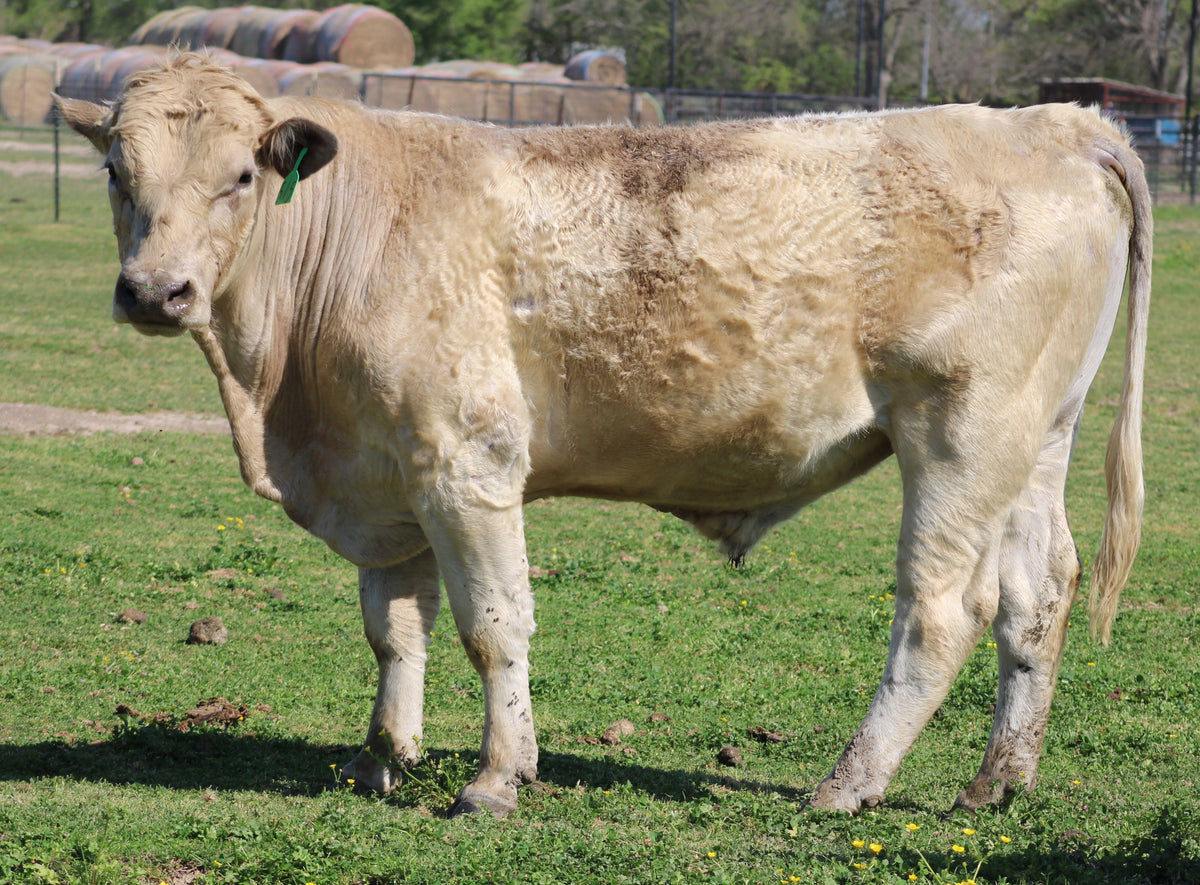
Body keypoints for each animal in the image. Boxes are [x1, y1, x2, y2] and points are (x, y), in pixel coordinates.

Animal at [57, 54, 1151, 819]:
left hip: (960, 431)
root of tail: (1060, 122)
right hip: (1036, 439)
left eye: (242, 175)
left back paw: (849, 781)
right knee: (1037, 594)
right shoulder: (383, 473)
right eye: (114, 169)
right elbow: (394, 629)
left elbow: (493, 626)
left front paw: (497, 776)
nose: (155, 291)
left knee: (942, 608)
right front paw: (380, 758)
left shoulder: (467, 463)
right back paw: (998, 779)